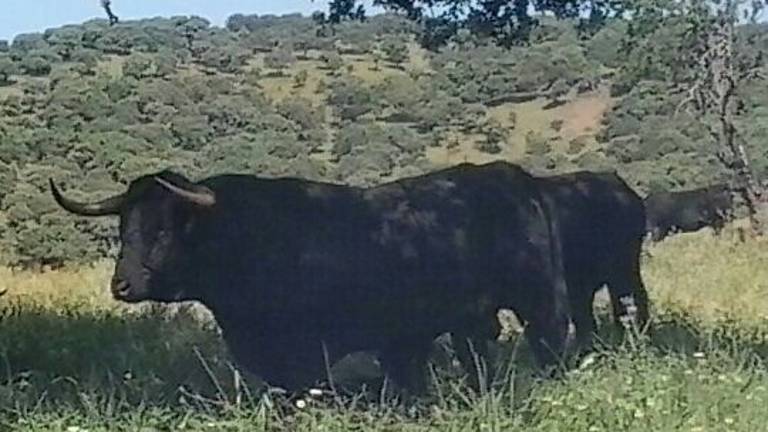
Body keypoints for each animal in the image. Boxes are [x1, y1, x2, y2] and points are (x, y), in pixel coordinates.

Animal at [49, 162, 648, 392]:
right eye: (123, 228)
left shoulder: (305, 353)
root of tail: (514, 176)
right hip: (469, 321)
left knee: (553, 341)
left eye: (164, 230)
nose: (121, 284)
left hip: (542, 298)